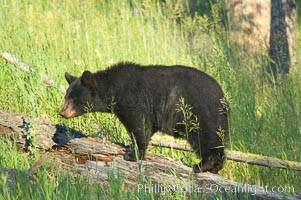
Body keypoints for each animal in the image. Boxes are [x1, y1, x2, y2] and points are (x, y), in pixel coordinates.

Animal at [59, 62, 227, 173]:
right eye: (66, 97)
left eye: (74, 100)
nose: (62, 113)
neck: (114, 88)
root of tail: (222, 96)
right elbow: (146, 128)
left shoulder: (133, 100)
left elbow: (139, 126)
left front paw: (132, 154)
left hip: (197, 113)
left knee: (204, 138)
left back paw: (202, 165)